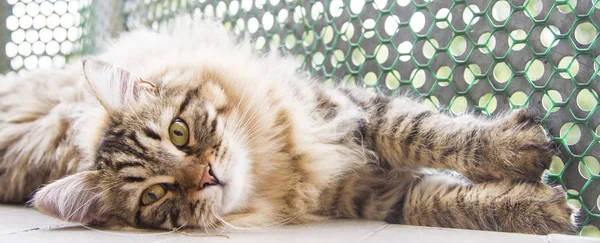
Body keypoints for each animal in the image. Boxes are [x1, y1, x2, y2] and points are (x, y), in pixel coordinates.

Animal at [0, 18, 580, 234]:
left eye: (179, 133)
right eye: (155, 195)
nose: (206, 176)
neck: (275, 172)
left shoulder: (347, 112)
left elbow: (429, 133)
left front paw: (512, 148)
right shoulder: (372, 198)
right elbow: (444, 203)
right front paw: (537, 208)